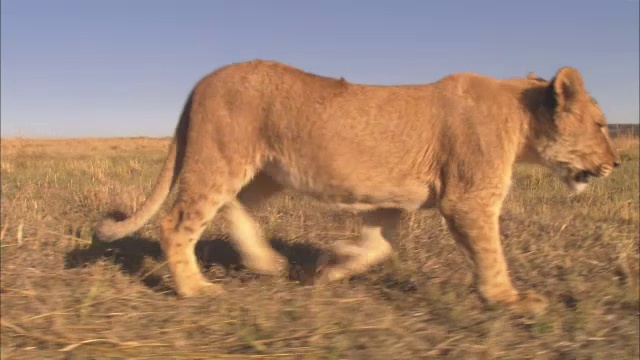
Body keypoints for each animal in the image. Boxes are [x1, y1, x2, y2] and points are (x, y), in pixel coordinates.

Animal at [95, 59, 620, 312]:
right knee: (177, 223)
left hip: (264, 170)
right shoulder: (468, 199)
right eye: (600, 125)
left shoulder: (393, 200)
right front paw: (509, 300)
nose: (615, 162)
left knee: (234, 207)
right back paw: (194, 289)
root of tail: (201, 81)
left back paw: (266, 262)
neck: (523, 120)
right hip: (222, 158)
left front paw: (328, 268)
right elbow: (491, 255)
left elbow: (378, 246)